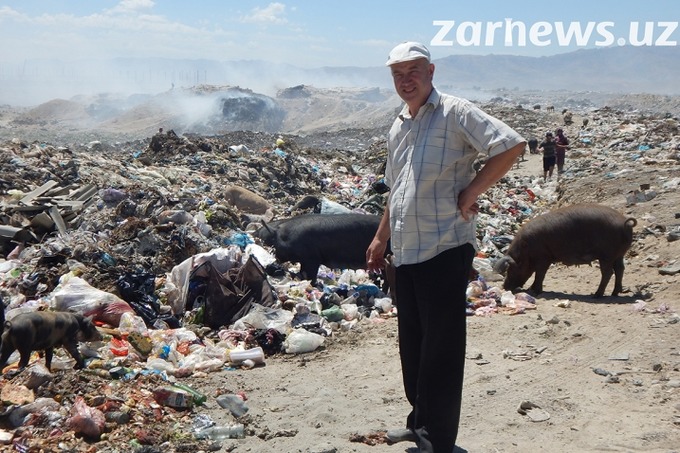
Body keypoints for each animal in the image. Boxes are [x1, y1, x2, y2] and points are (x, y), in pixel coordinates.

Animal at [494, 204, 636, 296]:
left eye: (510, 269)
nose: (504, 287)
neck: (525, 249)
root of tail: (625, 223)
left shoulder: (543, 258)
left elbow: (540, 274)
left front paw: (534, 291)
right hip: (619, 254)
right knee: (620, 269)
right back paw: (615, 293)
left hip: (607, 255)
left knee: (608, 273)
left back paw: (596, 295)